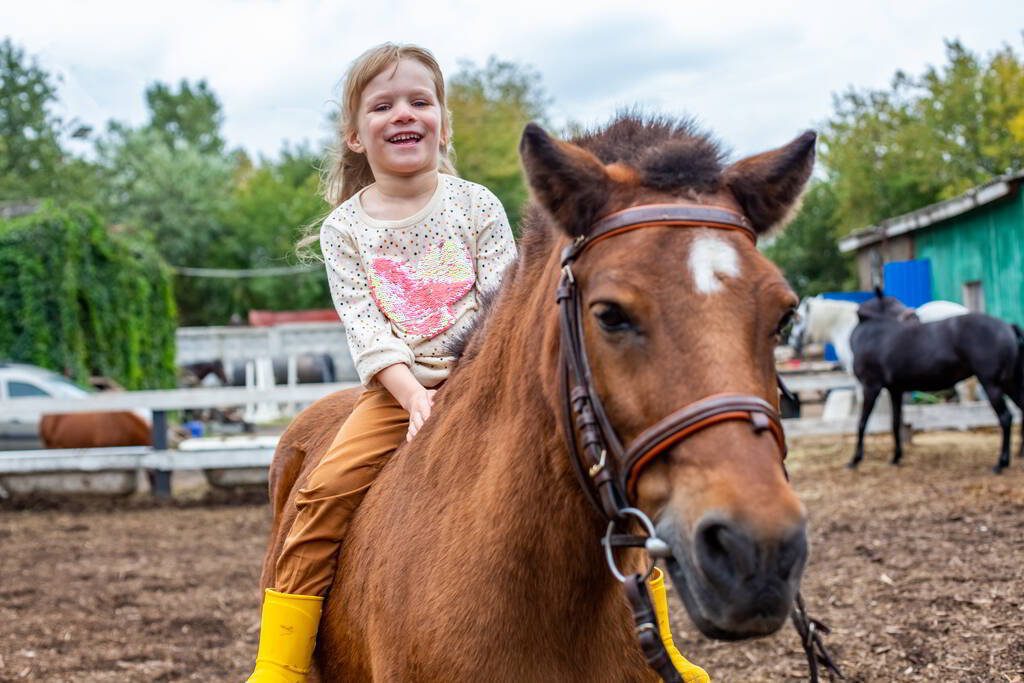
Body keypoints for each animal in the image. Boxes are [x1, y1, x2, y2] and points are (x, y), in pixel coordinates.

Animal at [848, 292, 1024, 472]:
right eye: (892, 303)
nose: (913, 314)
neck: (873, 333)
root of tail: (1008, 326)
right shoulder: (895, 389)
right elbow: (895, 423)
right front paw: (896, 457)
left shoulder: (871, 386)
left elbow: (862, 422)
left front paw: (855, 459)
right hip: (1009, 382)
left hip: (992, 384)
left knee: (1005, 418)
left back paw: (1001, 463)